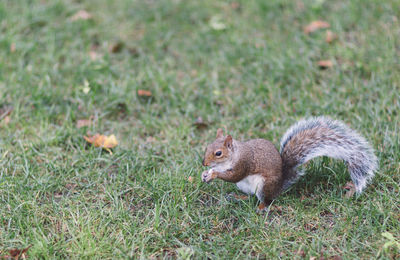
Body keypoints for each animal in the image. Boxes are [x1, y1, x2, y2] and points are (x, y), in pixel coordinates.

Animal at [203, 116, 378, 209]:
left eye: (218, 153)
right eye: (207, 146)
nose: (204, 163)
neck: (233, 156)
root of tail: (279, 186)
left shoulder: (244, 163)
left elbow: (234, 176)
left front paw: (214, 174)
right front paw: (206, 174)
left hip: (264, 185)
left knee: (266, 199)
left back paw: (261, 207)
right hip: (245, 187)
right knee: (251, 196)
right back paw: (240, 197)